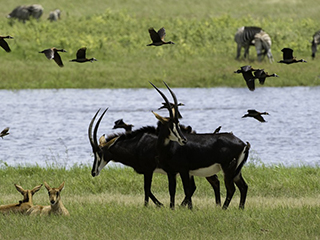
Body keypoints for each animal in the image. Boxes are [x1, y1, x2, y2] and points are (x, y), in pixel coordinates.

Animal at [89, 109, 221, 207]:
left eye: (99, 152)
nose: (93, 172)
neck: (137, 144)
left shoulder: (148, 170)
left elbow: (147, 189)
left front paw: (154, 205)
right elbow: (149, 190)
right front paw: (160, 204)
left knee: (207, 183)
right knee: (210, 183)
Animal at [150, 81, 250, 209]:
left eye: (178, 124)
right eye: (170, 125)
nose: (183, 140)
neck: (169, 149)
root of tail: (243, 144)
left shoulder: (184, 171)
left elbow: (187, 189)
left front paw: (189, 209)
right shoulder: (171, 172)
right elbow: (172, 190)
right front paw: (172, 208)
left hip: (228, 170)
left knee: (231, 189)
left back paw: (223, 209)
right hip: (236, 171)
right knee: (243, 187)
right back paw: (240, 208)